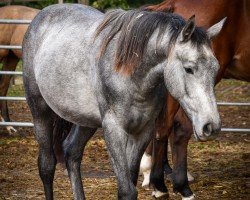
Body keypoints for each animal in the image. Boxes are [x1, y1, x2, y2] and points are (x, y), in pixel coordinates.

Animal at [22, 3, 224, 200]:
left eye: (215, 69)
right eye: (189, 68)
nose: (211, 126)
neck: (130, 73)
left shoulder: (143, 131)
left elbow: (130, 180)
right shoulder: (114, 130)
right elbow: (127, 190)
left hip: (86, 120)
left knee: (72, 152)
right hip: (40, 111)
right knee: (47, 166)